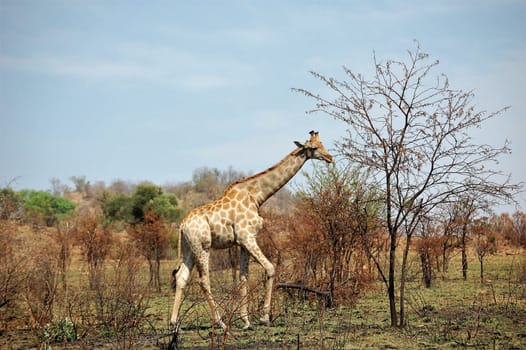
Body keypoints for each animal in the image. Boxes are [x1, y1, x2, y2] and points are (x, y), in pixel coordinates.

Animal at [171, 130, 332, 330]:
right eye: (314, 147)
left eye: (322, 143)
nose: (330, 158)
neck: (257, 196)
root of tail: (182, 225)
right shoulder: (248, 237)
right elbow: (270, 268)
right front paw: (264, 318)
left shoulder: (242, 243)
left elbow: (243, 277)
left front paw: (246, 321)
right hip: (203, 247)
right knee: (204, 280)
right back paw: (220, 322)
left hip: (189, 248)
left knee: (181, 277)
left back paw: (174, 322)